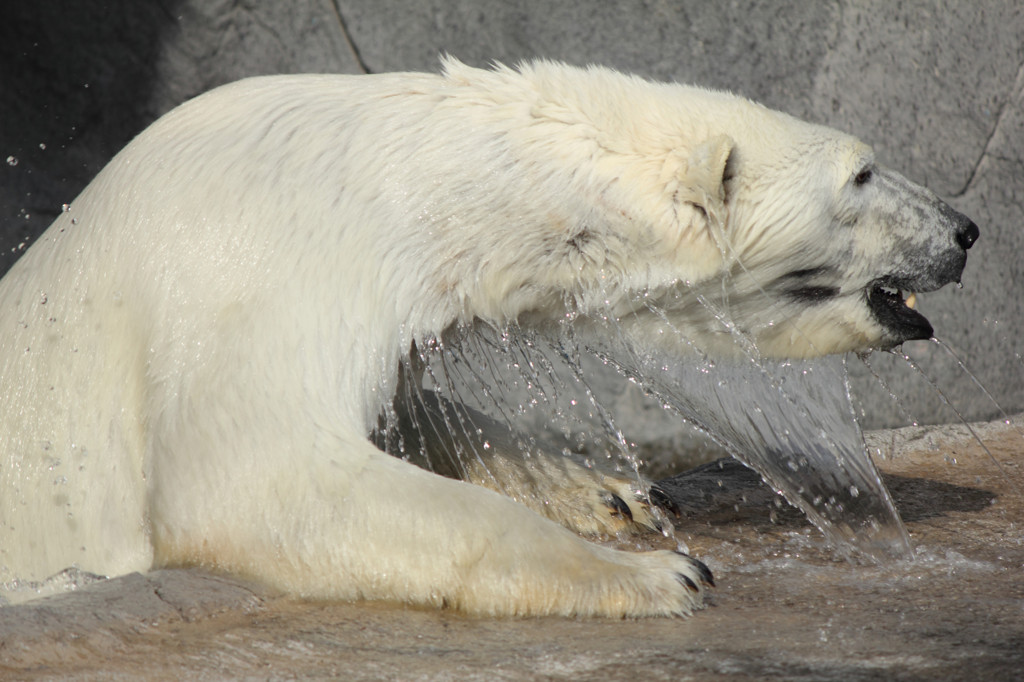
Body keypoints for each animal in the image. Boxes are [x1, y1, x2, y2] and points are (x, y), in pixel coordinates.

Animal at [0, 59, 974, 614]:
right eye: (863, 172)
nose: (965, 229)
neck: (399, 181)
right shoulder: (263, 270)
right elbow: (254, 478)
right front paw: (658, 575)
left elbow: (413, 407)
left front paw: (608, 492)